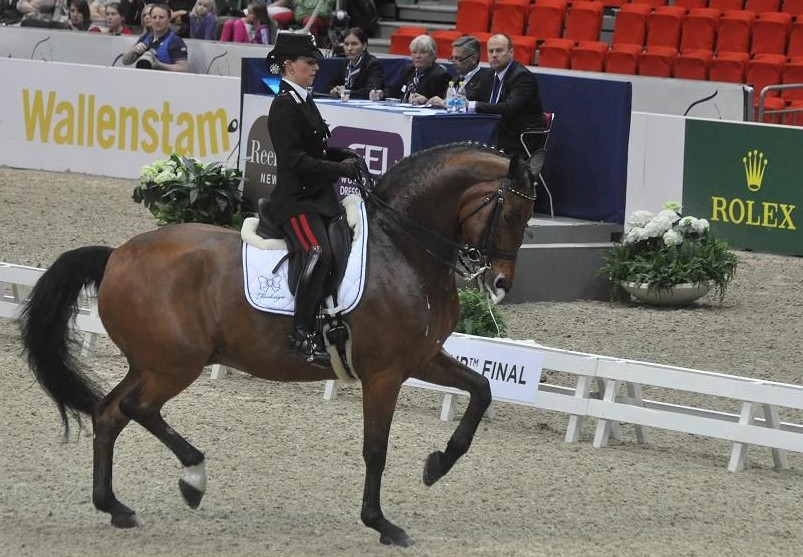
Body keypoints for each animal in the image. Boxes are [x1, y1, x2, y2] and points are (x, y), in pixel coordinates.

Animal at [19, 143, 536, 547]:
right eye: (511, 213)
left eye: (530, 220)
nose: (500, 284)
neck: (403, 250)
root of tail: (116, 257)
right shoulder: (384, 374)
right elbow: (376, 449)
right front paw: (382, 524)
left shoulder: (422, 358)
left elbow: (482, 389)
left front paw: (437, 465)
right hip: (174, 366)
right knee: (133, 410)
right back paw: (187, 480)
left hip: (153, 363)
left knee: (112, 413)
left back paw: (122, 504)